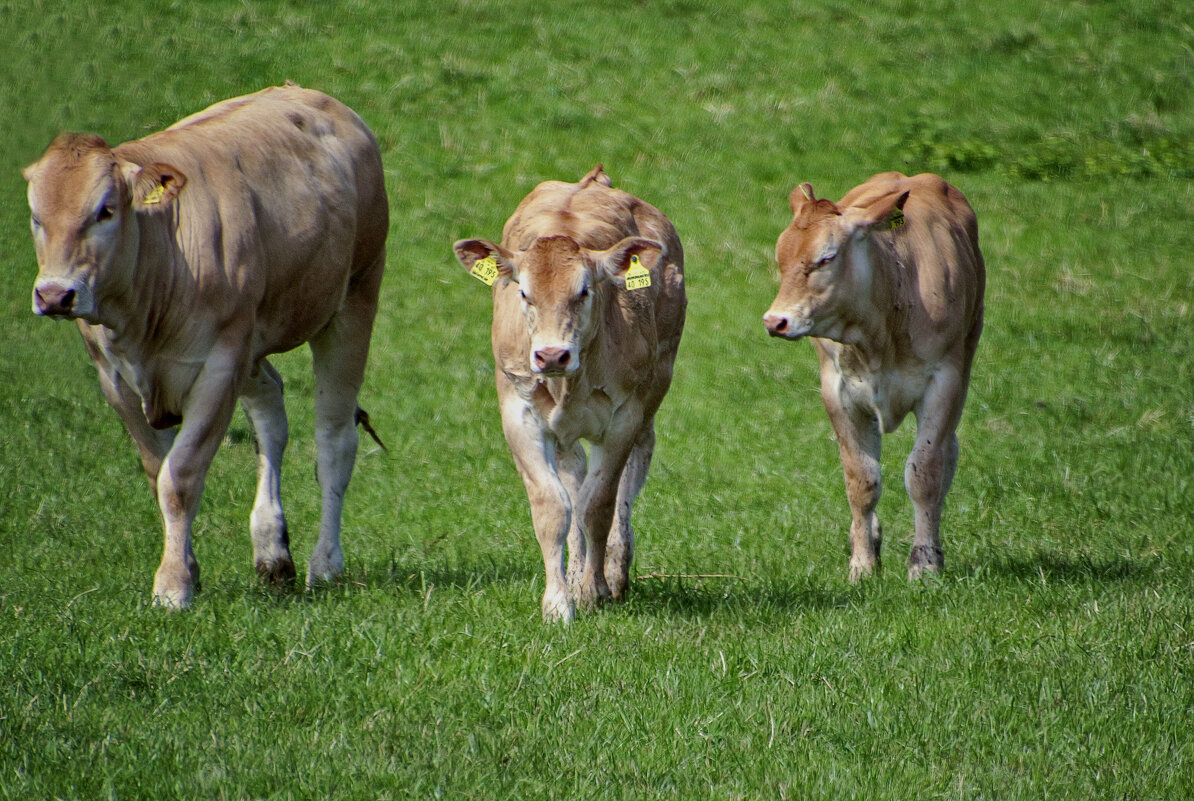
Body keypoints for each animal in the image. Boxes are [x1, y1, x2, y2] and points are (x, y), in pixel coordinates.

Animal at [23, 82, 386, 608]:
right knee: (271, 409)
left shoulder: (219, 365)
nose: (55, 294)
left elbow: (181, 477)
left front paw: (172, 587)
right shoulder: (115, 379)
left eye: (105, 210)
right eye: (36, 217)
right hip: (254, 338)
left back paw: (325, 564)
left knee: (334, 437)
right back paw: (272, 550)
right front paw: (188, 569)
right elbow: (158, 471)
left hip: (354, 298)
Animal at [451, 165, 687, 625]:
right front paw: (559, 601)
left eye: (584, 290)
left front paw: (595, 590)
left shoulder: (624, 416)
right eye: (523, 292)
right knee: (574, 477)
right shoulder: (519, 414)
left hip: (653, 391)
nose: (551, 355)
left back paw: (613, 571)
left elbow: (599, 504)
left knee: (632, 473)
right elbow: (554, 507)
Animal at [764, 170, 988, 582]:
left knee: (947, 453)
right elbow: (862, 479)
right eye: (781, 257)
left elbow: (925, 472)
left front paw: (925, 563)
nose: (776, 321)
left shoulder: (944, 383)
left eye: (826, 257)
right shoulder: (838, 391)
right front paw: (862, 563)